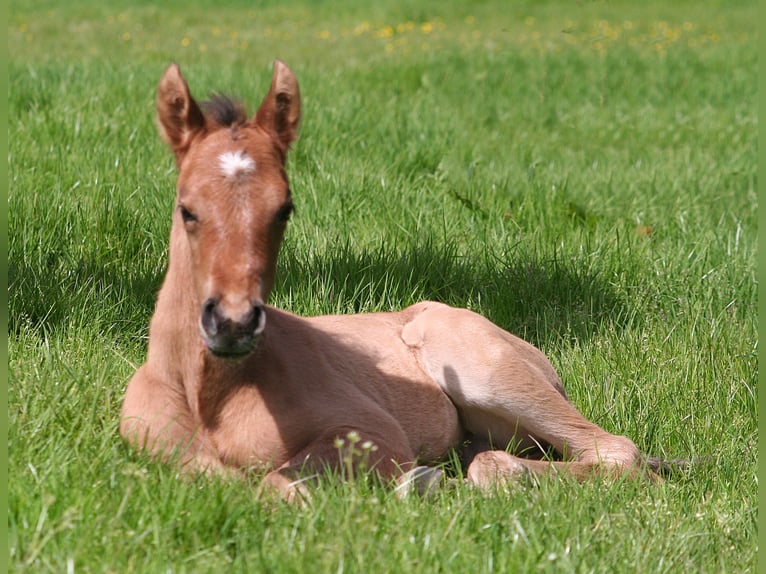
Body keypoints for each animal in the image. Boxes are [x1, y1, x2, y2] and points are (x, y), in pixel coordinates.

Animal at [123, 59, 664, 500]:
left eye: (284, 209)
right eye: (187, 208)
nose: (233, 324)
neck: (208, 397)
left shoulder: (370, 433)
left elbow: (273, 484)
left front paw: (419, 482)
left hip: (486, 373)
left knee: (616, 451)